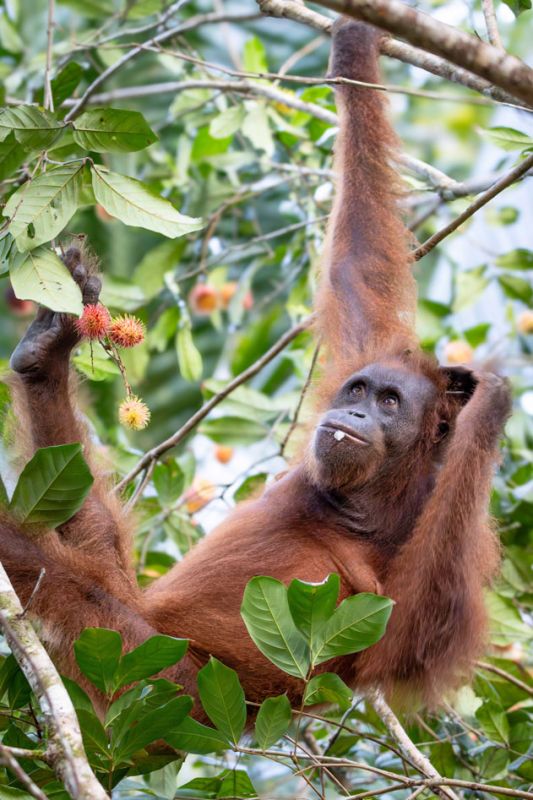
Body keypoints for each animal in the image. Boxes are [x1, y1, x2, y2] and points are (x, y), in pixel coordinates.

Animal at [0, 19, 511, 715]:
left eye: (388, 404)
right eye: (360, 390)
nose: (353, 412)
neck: (375, 498)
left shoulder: (443, 559)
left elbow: (417, 628)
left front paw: (491, 407)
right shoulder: (368, 348)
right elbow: (360, 264)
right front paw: (355, 43)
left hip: (156, 682)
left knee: (80, 591)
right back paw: (44, 355)